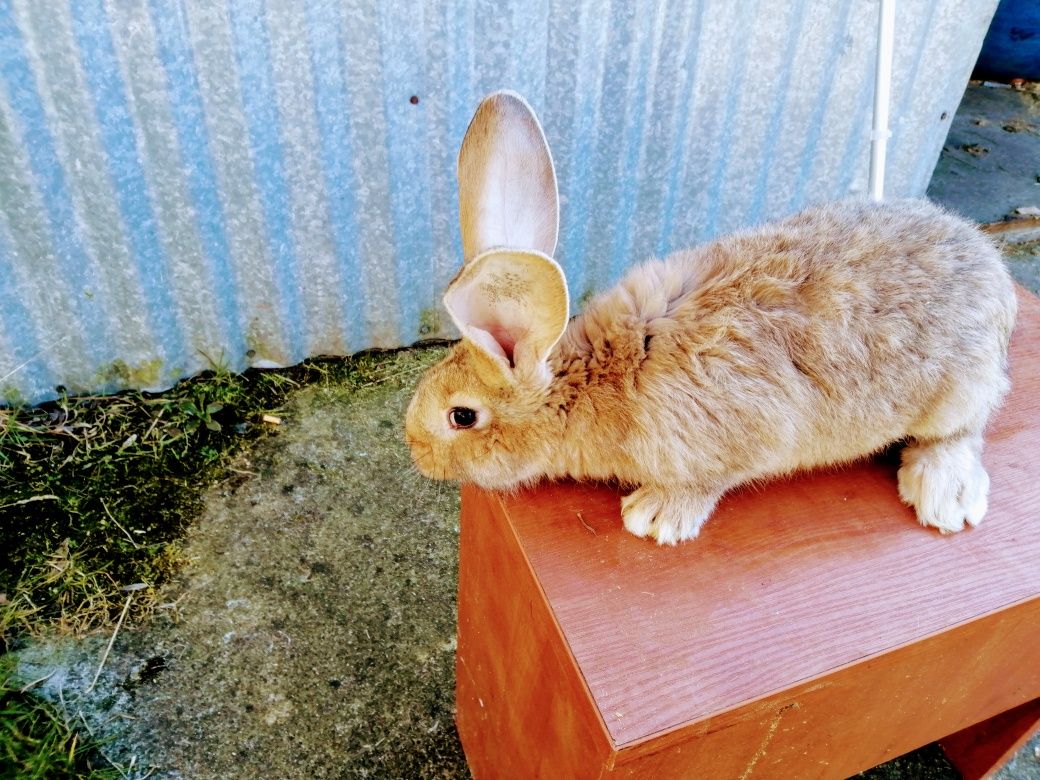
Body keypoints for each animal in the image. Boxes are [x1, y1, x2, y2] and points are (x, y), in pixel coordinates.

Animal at [403, 89, 1015, 544]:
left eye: (462, 417)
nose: (415, 451)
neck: (596, 377)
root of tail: (991, 264)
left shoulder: (734, 443)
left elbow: (707, 483)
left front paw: (653, 518)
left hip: (959, 391)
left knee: (963, 431)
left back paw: (945, 497)